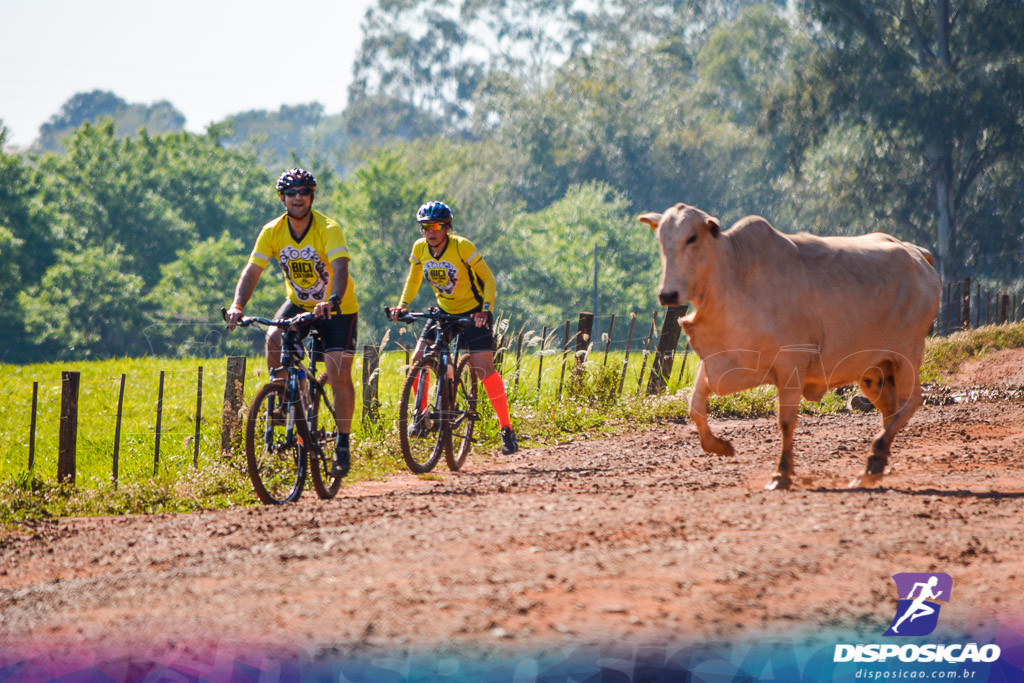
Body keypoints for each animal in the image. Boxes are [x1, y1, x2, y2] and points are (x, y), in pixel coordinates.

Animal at [638, 202, 942, 491]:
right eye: (661, 239)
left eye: (692, 238)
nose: (667, 294)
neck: (734, 276)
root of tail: (917, 253)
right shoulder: (719, 361)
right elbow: (695, 407)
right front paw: (719, 445)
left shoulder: (791, 366)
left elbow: (785, 422)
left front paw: (782, 474)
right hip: (873, 371)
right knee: (891, 411)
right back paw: (876, 465)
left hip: (906, 355)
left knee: (911, 402)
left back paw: (875, 457)